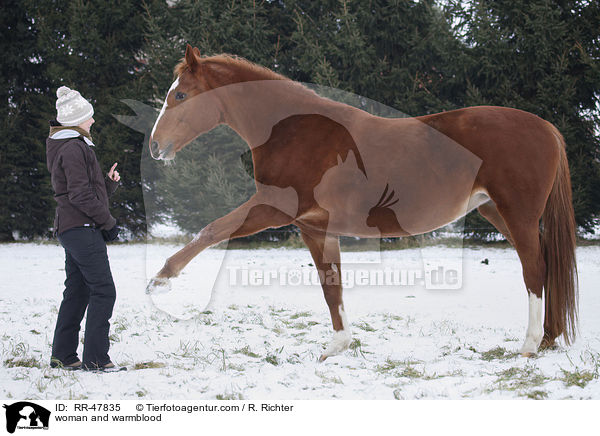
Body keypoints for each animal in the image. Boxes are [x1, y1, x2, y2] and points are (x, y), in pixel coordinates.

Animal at [146, 44, 576, 360]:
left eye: (180, 94)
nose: (154, 146)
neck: (296, 132)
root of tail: (545, 127)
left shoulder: (273, 208)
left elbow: (211, 230)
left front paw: (160, 281)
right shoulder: (314, 226)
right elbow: (330, 285)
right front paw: (337, 346)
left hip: (517, 214)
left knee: (535, 269)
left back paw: (528, 345)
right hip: (495, 211)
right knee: (546, 263)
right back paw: (548, 338)